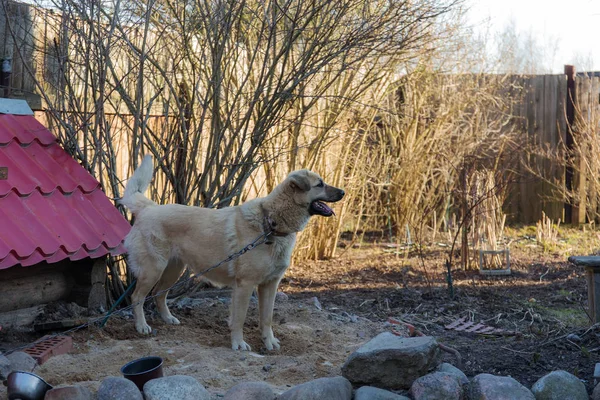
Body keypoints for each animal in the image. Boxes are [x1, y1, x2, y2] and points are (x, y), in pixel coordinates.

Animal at [120, 156, 344, 350]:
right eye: (320, 184)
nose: (343, 192)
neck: (270, 224)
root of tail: (149, 208)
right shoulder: (245, 285)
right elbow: (240, 318)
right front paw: (239, 343)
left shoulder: (270, 285)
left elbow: (267, 318)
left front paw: (269, 342)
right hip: (154, 269)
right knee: (137, 296)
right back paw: (141, 326)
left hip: (173, 270)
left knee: (159, 294)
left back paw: (168, 319)